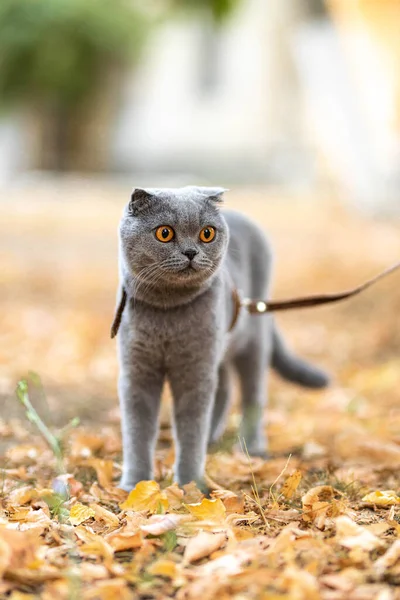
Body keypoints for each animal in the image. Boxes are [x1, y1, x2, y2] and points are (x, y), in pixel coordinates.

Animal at [112, 188, 328, 492]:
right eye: (165, 233)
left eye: (207, 233)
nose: (191, 252)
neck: (167, 312)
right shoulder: (137, 372)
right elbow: (137, 432)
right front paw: (135, 484)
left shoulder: (195, 371)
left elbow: (190, 431)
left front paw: (189, 485)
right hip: (219, 347)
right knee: (224, 388)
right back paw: (212, 437)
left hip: (250, 343)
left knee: (252, 395)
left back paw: (252, 445)